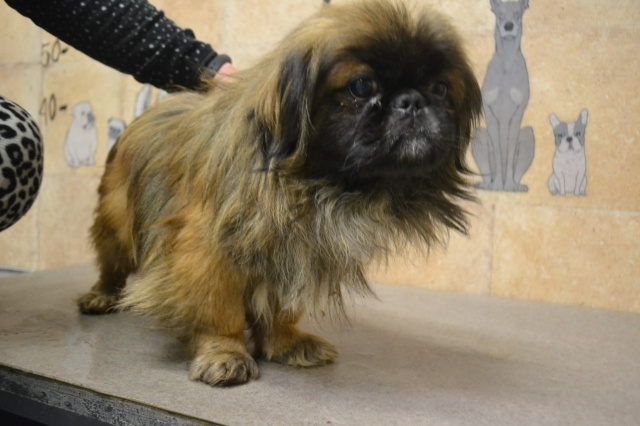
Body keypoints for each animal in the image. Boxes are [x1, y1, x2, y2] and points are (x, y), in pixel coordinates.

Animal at [77, 0, 482, 386]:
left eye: (441, 89)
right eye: (362, 87)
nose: (412, 101)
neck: (317, 185)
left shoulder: (297, 251)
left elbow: (279, 311)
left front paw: (285, 343)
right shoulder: (209, 254)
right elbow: (219, 313)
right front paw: (225, 354)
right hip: (116, 225)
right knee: (111, 264)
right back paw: (102, 295)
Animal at [472, 0, 534, 192]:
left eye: (517, 13)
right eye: (500, 14)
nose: (508, 26)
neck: (507, 64)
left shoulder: (519, 110)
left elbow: (511, 147)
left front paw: (508, 185)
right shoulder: (489, 111)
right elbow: (499, 151)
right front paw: (499, 183)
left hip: (528, 134)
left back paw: (515, 186)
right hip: (478, 134)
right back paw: (488, 185)